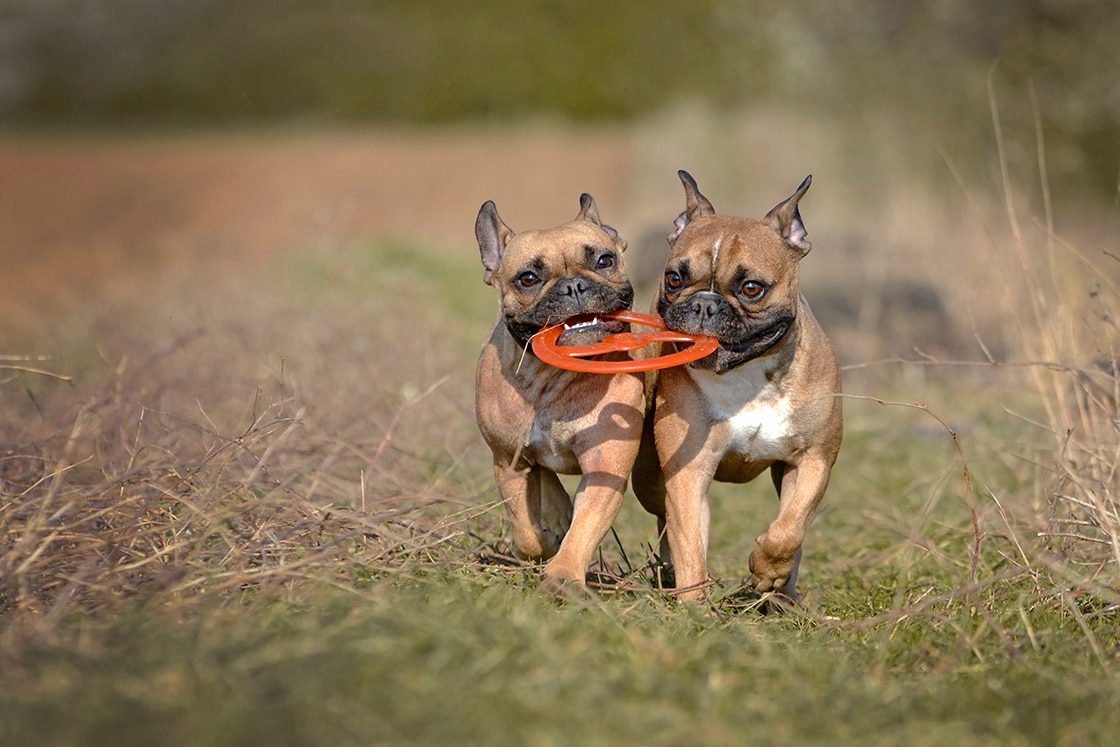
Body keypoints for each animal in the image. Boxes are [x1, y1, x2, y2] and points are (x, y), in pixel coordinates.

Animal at [636, 169, 842, 600]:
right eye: (674, 278)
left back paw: (783, 595)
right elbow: (689, 540)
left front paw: (767, 570)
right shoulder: (689, 470)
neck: (746, 375)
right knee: (666, 519)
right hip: (649, 478)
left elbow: (790, 527)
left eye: (751, 288)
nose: (704, 304)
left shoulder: (813, 460)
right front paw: (694, 602)